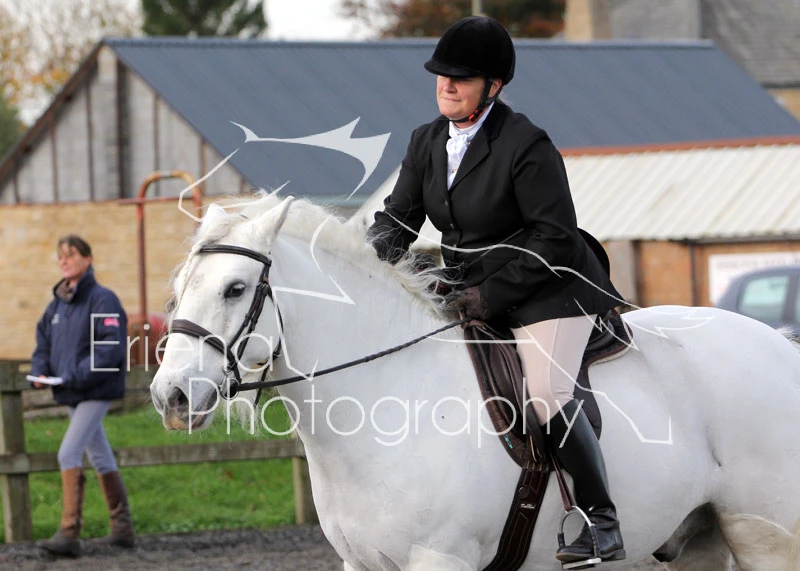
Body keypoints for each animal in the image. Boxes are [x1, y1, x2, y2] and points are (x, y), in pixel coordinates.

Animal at [150, 193, 800, 571]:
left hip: (766, 537)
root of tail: (779, 346)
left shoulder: (441, 559)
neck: (391, 404)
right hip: (702, 537)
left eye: (235, 288)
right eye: (179, 288)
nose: (170, 396)